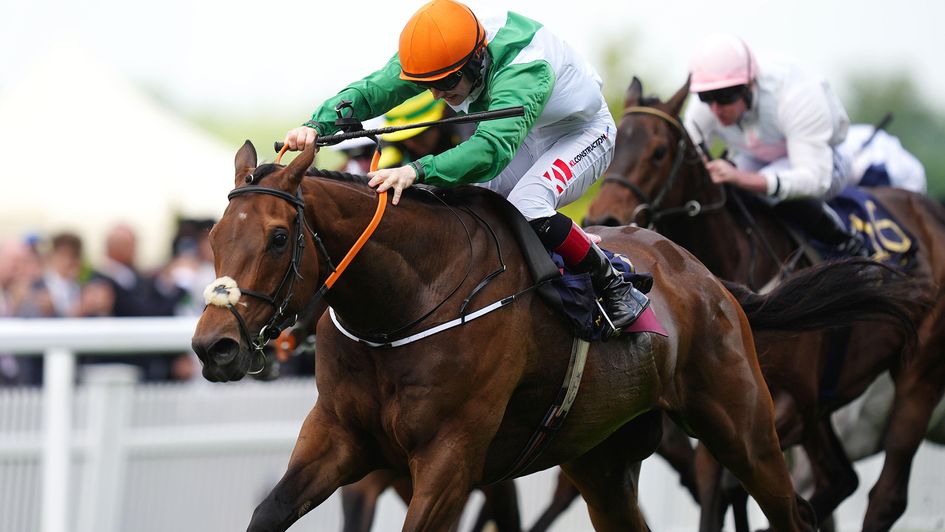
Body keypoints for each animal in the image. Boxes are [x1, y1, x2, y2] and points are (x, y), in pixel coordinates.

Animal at [190, 139, 908, 528]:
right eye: (214, 237)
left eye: (277, 237)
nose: (212, 346)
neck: (401, 311)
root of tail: (710, 280)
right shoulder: (340, 438)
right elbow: (267, 514)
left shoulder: (451, 459)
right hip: (602, 458)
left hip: (742, 424)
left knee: (795, 510)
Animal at [588, 76, 940, 532]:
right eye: (615, 148)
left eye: (659, 152)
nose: (604, 219)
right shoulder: (721, 403)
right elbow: (713, 494)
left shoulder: (786, 404)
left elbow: (731, 487)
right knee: (839, 477)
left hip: (917, 375)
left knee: (886, 494)